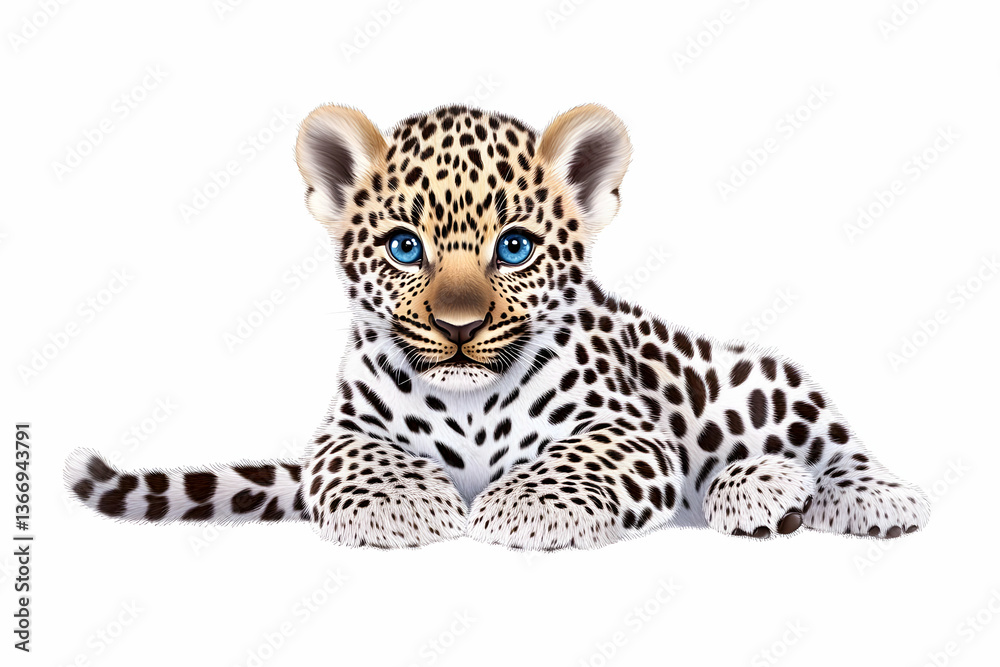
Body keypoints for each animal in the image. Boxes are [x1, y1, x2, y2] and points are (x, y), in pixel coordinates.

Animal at [65, 103, 931, 549]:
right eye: (403, 246)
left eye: (513, 246)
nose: (458, 325)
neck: (468, 402)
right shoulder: (342, 429)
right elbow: (357, 458)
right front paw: (402, 505)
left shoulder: (626, 428)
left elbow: (580, 457)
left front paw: (526, 508)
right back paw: (761, 493)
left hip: (752, 380)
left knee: (830, 441)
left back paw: (845, 494)